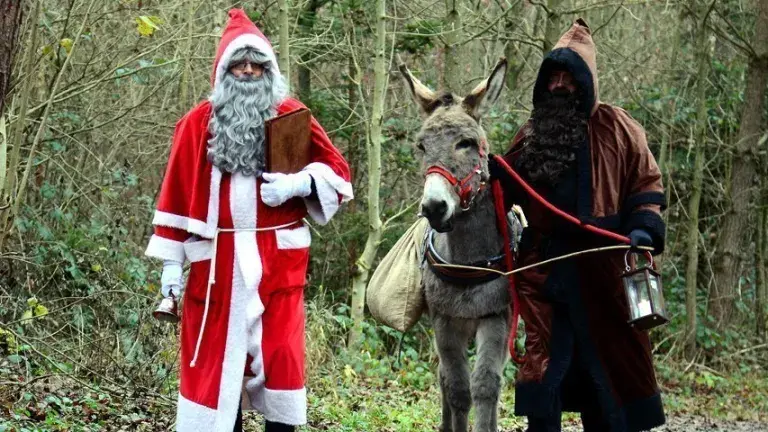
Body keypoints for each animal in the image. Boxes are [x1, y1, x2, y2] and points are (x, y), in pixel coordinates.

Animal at [398, 58, 515, 432]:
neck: (467, 261)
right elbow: (458, 389)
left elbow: (486, 385)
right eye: (421, 146)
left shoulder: (496, 317)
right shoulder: (445, 321)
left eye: (466, 143)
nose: (434, 207)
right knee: (444, 378)